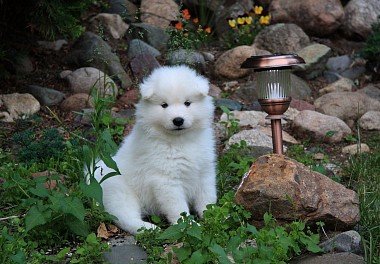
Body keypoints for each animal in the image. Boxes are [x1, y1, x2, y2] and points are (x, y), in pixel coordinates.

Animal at [95, 65, 217, 234]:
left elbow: (207, 197)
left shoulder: (204, 172)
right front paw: (189, 226)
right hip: (121, 193)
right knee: (125, 218)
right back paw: (150, 229)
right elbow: (178, 209)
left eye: (187, 103)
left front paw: (214, 217)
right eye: (164, 105)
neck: (180, 141)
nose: (178, 120)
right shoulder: (166, 180)